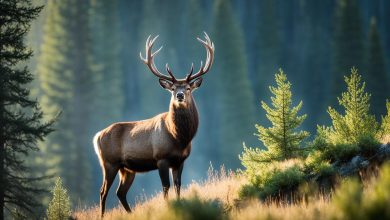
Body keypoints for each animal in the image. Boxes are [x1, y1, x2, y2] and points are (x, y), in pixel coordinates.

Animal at [93, 32, 215, 217]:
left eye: (188, 88)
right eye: (173, 89)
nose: (179, 95)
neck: (178, 138)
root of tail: (97, 136)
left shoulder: (180, 160)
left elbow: (178, 186)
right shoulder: (161, 158)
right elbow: (166, 187)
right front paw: (168, 208)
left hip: (127, 169)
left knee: (120, 192)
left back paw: (130, 214)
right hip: (109, 162)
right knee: (103, 191)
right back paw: (102, 215)